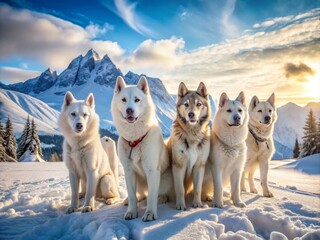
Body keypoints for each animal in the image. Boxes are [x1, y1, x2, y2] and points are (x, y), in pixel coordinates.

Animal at [110, 76, 170, 222]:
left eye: (137, 99)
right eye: (123, 99)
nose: (129, 110)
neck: (135, 140)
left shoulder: (152, 171)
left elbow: (151, 197)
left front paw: (150, 213)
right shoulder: (129, 171)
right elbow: (132, 195)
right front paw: (132, 211)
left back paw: (162, 197)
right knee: (140, 194)